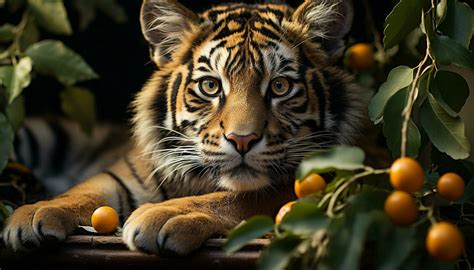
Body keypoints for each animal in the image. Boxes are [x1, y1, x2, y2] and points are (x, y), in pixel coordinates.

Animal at [1, 0, 368, 255]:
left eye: (280, 87)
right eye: (210, 86)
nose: (243, 139)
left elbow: (236, 198)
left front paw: (165, 215)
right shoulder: (123, 173)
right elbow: (83, 191)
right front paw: (34, 213)